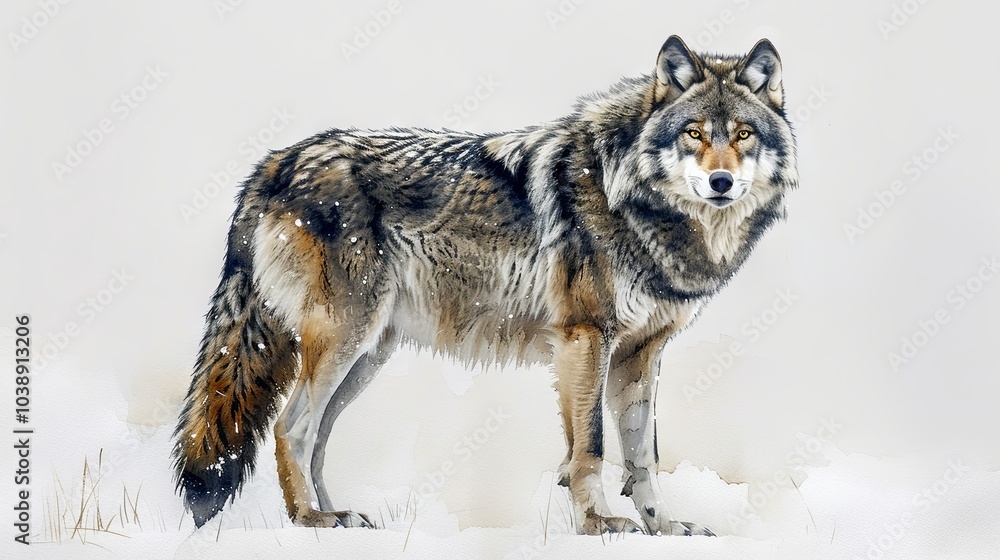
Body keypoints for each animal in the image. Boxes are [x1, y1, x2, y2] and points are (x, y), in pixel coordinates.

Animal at [173, 35, 798, 536]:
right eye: (694, 133)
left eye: (743, 134)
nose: (722, 182)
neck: (636, 201)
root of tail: (278, 159)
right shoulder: (584, 338)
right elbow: (591, 448)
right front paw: (599, 525)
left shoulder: (640, 355)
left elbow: (644, 457)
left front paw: (664, 529)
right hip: (345, 340)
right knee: (291, 426)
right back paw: (310, 520)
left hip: (368, 355)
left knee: (318, 439)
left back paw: (341, 518)